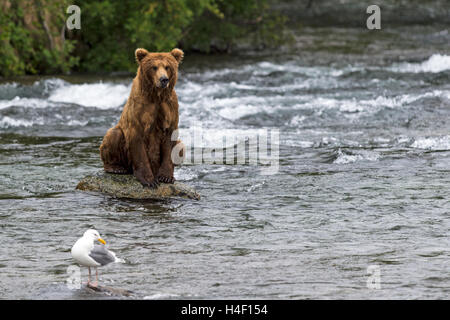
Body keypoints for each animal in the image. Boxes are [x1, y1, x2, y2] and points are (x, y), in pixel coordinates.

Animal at [99, 47, 184, 188]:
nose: (164, 79)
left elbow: (170, 141)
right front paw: (149, 180)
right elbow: (138, 142)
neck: (156, 95)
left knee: (181, 145)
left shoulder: (170, 107)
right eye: (154, 67)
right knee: (113, 135)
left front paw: (166, 177)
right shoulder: (140, 109)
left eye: (167, 66)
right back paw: (116, 168)